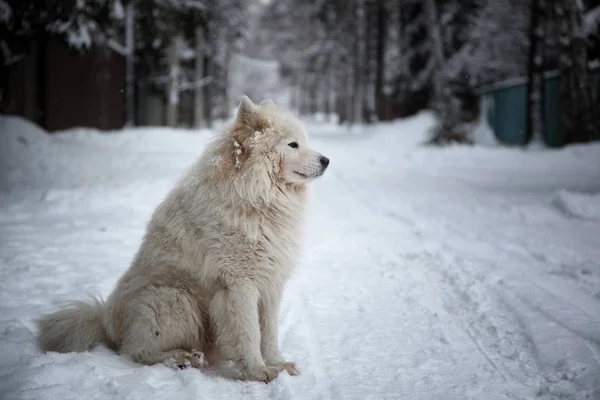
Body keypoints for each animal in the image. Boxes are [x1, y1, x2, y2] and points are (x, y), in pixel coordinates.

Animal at [37, 95, 330, 382]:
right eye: (293, 144)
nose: (326, 160)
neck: (257, 198)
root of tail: (105, 321)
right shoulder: (239, 283)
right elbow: (249, 333)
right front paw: (258, 372)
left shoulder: (271, 282)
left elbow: (268, 332)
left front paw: (279, 364)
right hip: (176, 300)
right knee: (135, 351)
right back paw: (183, 358)